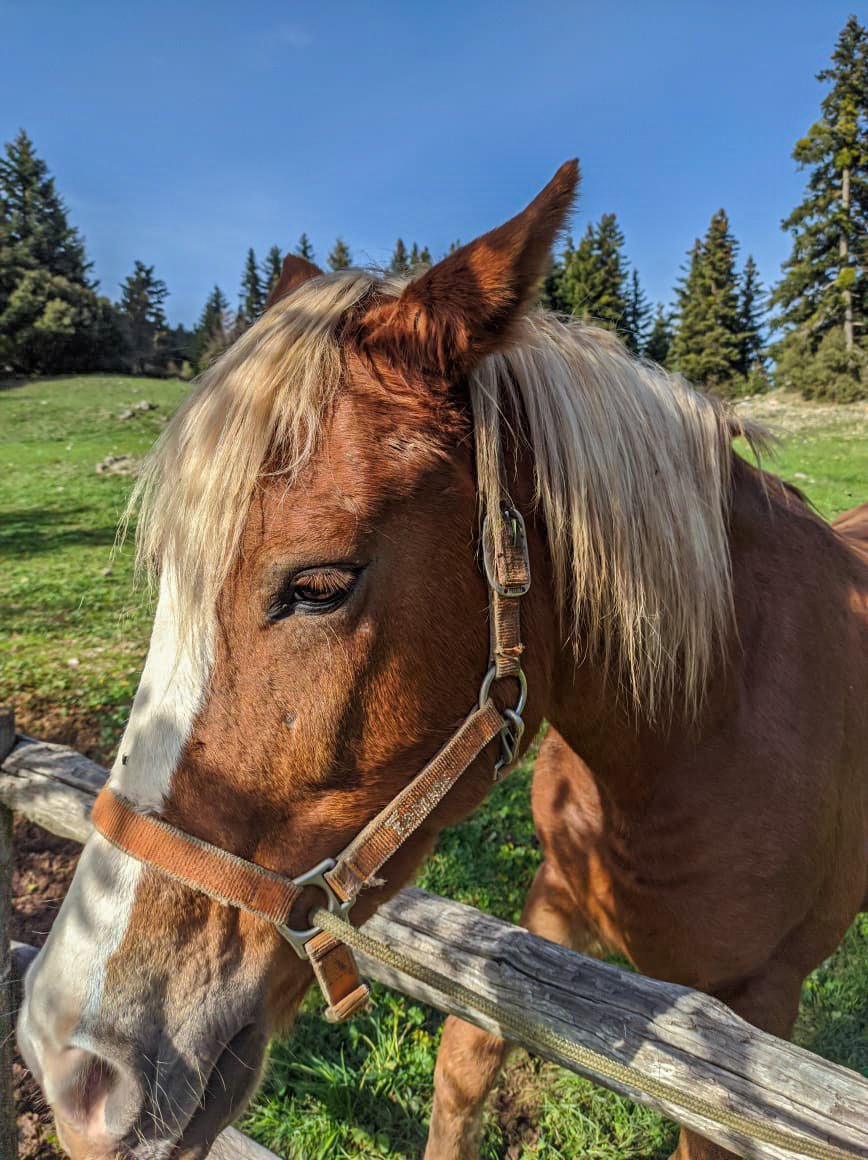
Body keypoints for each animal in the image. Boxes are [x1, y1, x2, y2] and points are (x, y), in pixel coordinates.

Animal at [16, 163, 863, 1160]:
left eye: (319, 586)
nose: (69, 1062)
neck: (703, 731)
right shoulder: (556, 898)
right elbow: (467, 1053)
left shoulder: (755, 1009)